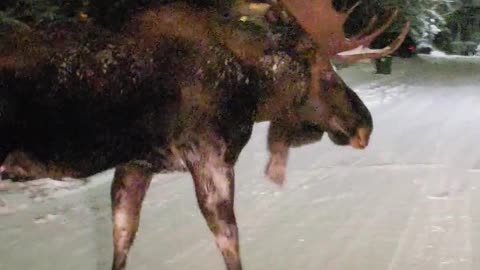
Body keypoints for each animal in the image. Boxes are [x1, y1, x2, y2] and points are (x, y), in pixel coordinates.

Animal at [0, 1, 408, 268]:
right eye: (323, 70)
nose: (364, 124)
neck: (251, 90)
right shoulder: (210, 155)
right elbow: (231, 246)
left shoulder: (135, 164)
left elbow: (123, 239)